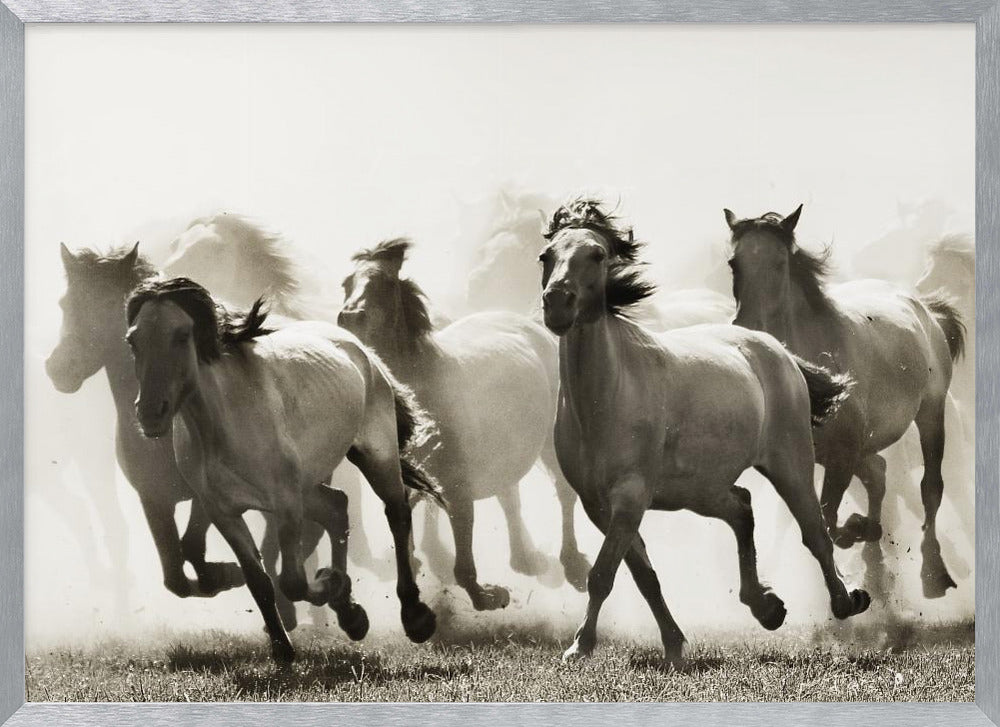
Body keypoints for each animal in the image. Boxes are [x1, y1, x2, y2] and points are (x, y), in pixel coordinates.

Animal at [125, 277, 442, 662]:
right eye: (133, 340)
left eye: (182, 335)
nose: (150, 413)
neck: (224, 423)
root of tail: (360, 349)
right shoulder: (222, 511)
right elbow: (258, 580)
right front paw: (283, 648)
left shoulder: (286, 503)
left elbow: (290, 581)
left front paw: (328, 583)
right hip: (308, 484)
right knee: (337, 506)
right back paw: (351, 616)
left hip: (375, 455)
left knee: (396, 513)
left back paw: (415, 617)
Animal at [338, 238, 592, 610]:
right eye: (346, 284)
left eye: (383, 284)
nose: (349, 318)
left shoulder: (457, 484)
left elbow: (462, 554)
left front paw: (486, 595)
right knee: (509, 495)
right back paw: (525, 559)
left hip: (549, 442)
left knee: (563, 493)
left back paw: (572, 565)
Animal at [539, 198, 869, 665]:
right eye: (546, 257)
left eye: (598, 255)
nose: (557, 304)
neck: (605, 399)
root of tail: (777, 349)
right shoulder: (598, 505)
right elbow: (643, 576)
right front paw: (673, 645)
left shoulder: (630, 497)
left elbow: (603, 573)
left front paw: (579, 647)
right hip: (700, 489)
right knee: (742, 507)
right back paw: (766, 607)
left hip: (790, 465)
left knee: (816, 533)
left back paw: (846, 601)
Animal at [723, 205, 966, 600]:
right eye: (734, 262)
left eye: (779, 262)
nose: (748, 326)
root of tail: (925, 309)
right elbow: (827, 519)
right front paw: (862, 532)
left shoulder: (843, 454)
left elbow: (829, 519)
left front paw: (857, 532)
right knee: (879, 473)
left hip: (931, 413)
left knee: (930, 488)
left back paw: (933, 573)